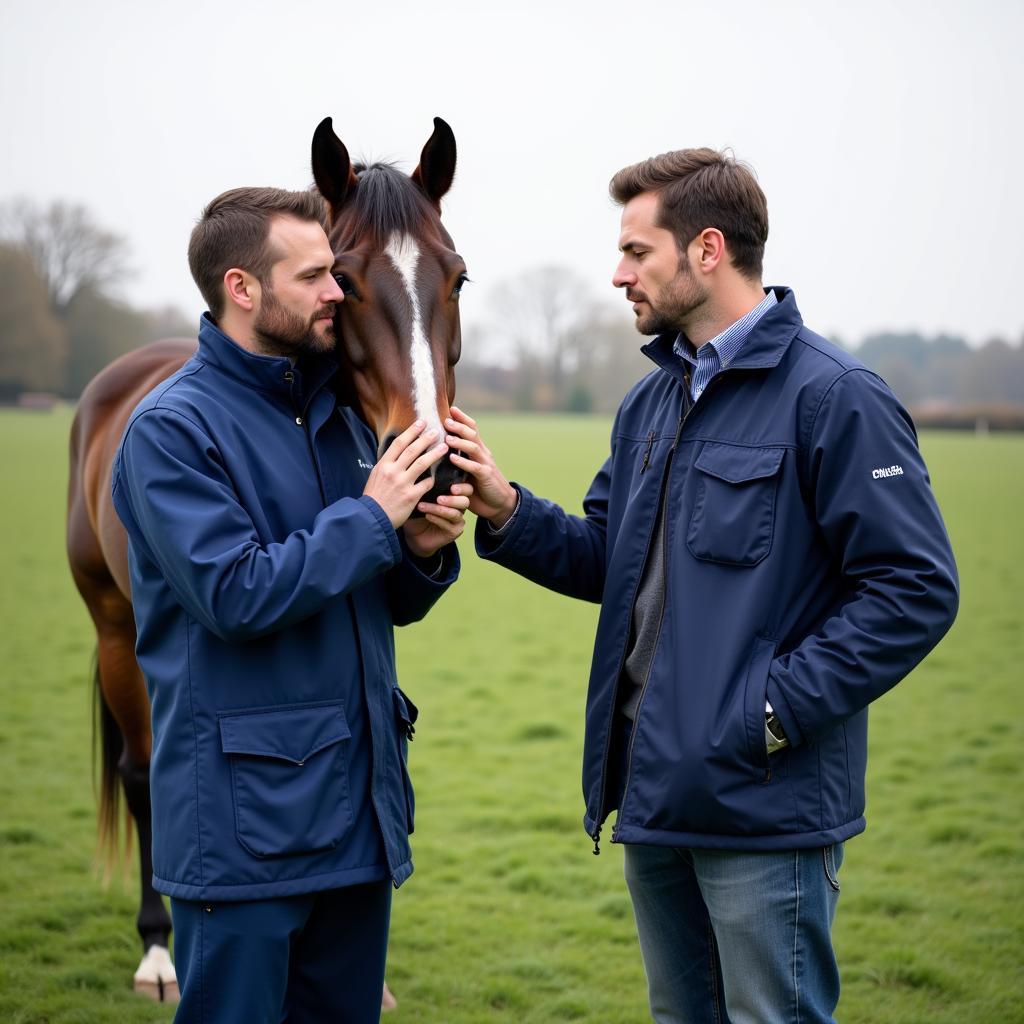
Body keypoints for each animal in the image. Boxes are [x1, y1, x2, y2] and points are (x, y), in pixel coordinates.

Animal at [65, 116, 464, 1003]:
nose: (438, 466)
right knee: (144, 774)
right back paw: (157, 950)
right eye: (339, 281)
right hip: (115, 632)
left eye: (457, 276)